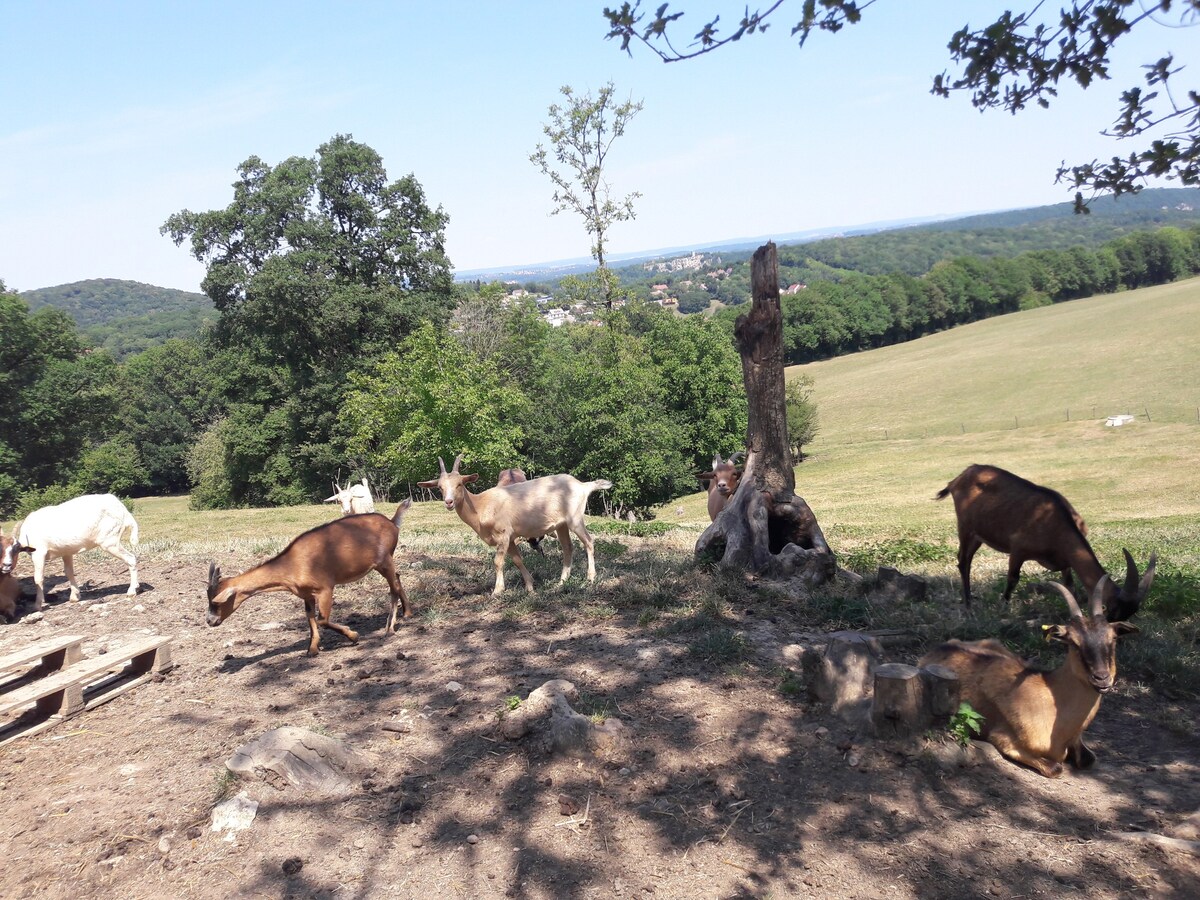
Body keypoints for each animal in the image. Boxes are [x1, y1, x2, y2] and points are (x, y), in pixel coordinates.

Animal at [206, 496, 412, 657]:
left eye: (217, 602)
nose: (209, 621)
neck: (292, 565)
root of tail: (392, 522)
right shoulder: (306, 594)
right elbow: (310, 618)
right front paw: (312, 649)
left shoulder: (325, 588)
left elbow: (322, 620)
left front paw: (353, 636)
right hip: (385, 563)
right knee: (397, 578)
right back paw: (407, 613)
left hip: (384, 560)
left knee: (393, 588)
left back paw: (390, 628)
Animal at [420, 453, 609, 595]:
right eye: (440, 487)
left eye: (460, 484)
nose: (449, 502)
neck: (480, 505)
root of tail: (583, 486)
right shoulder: (510, 539)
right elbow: (517, 560)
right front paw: (530, 586)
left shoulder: (503, 534)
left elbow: (498, 561)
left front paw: (497, 591)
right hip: (561, 524)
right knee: (568, 547)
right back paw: (561, 582)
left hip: (574, 518)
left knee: (588, 541)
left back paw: (590, 577)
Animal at [921, 580, 1137, 777]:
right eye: (1073, 642)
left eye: (1113, 638)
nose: (1102, 679)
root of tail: (940, 648)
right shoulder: (1004, 739)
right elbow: (1055, 768)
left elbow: (1089, 759)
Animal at [936, 465, 1152, 619]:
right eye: (1111, 609)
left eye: (1130, 613)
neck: (1056, 523)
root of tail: (957, 479)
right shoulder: (1018, 549)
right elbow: (1012, 578)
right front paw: (1004, 609)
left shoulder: (1065, 561)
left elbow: (1070, 584)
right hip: (965, 527)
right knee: (963, 561)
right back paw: (968, 605)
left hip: (978, 534)